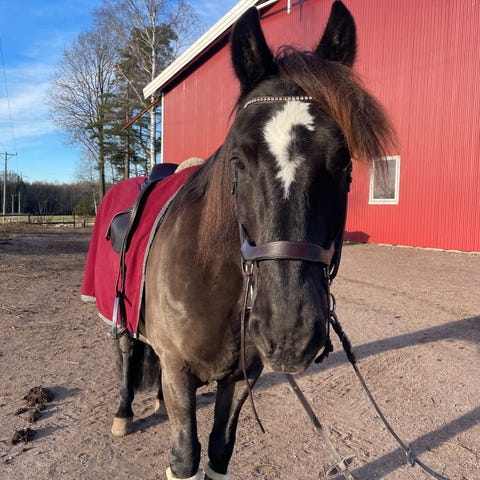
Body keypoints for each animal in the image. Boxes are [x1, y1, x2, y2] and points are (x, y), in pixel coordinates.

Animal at [108, 2, 396, 479]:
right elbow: (185, 458)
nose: (290, 333)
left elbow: (219, 451)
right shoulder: (179, 372)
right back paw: (123, 412)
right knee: (128, 350)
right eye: (239, 160)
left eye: (343, 162)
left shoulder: (242, 377)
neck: (210, 280)